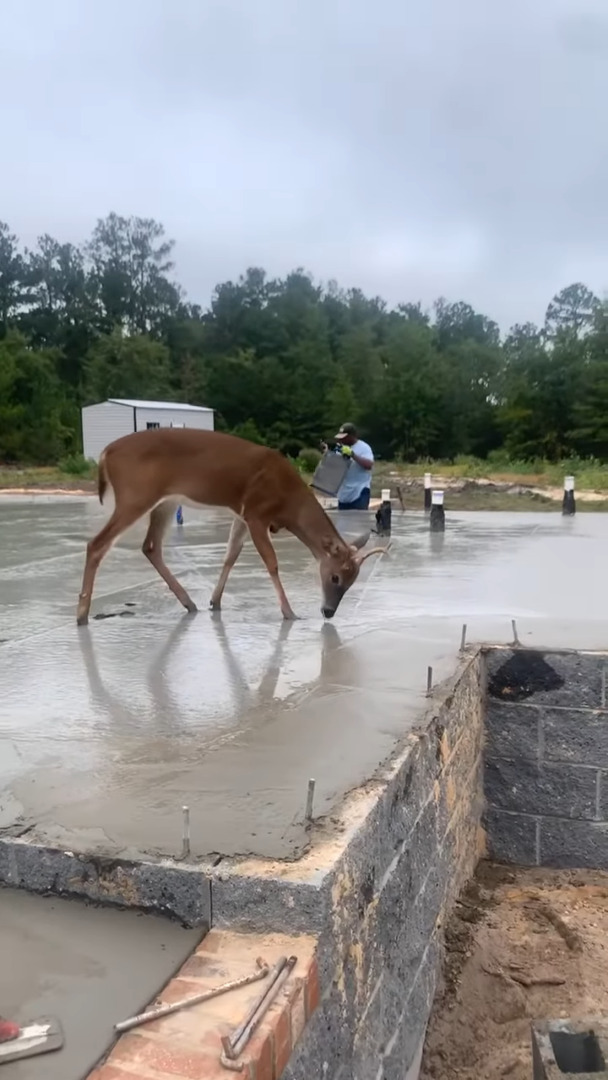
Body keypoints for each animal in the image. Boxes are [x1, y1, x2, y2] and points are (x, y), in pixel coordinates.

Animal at [77, 427, 390, 630]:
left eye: (352, 581)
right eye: (335, 577)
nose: (328, 612)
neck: (288, 503)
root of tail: (105, 453)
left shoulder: (241, 515)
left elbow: (231, 554)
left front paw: (215, 602)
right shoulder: (256, 513)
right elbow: (271, 562)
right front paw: (289, 613)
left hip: (165, 501)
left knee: (150, 546)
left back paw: (189, 603)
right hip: (135, 495)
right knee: (98, 543)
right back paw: (81, 613)